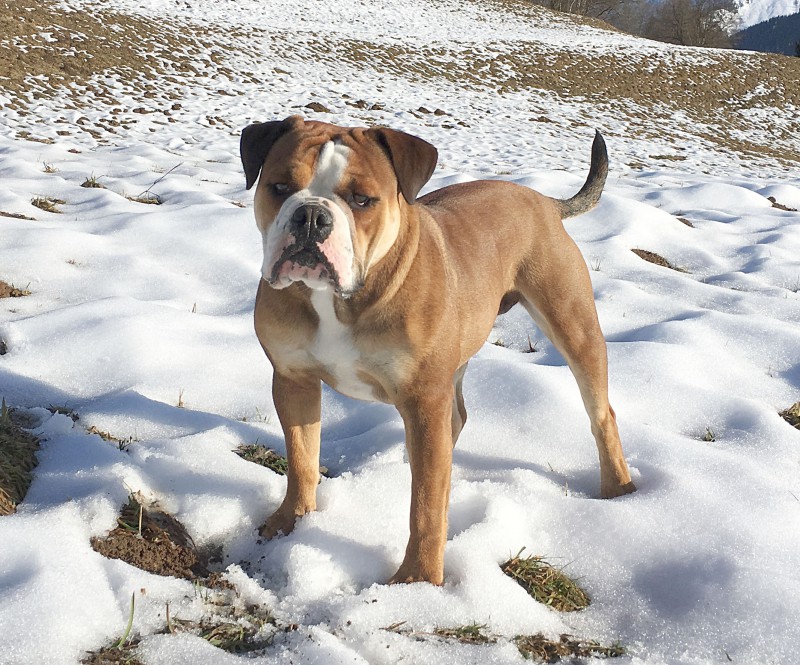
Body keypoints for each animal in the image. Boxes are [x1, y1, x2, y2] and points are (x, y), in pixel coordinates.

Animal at [240, 115, 636, 585]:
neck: (337, 300)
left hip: (573, 325)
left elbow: (427, 506)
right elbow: (302, 459)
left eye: (362, 199)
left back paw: (619, 489)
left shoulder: (424, 397)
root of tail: (543, 202)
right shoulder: (293, 379)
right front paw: (291, 523)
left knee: (601, 413)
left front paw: (417, 581)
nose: (312, 216)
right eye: (279, 187)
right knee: (456, 419)